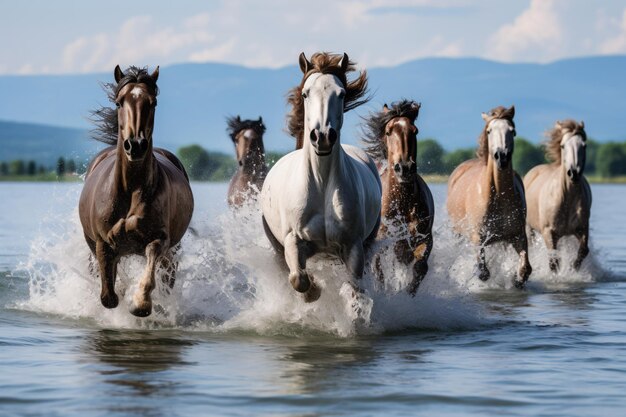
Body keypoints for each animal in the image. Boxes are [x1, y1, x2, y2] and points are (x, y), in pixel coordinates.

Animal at [79, 66, 194, 316]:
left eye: (153, 102)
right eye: (119, 102)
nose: (136, 145)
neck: (130, 189)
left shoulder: (159, 239)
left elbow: (149, 273)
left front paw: (140, 303)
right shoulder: (103, 244)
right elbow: (109, 295)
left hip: (172, 251)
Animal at [260, 52, 380, 300]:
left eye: (341, 93)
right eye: (306, 93)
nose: (323, 136)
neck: (322, 184)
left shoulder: (354, 246)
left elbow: (355, 287)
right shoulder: (293, 240)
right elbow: (298, 278)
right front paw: (313, 291)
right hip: (277, 248)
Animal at [360, 99, 434, 294]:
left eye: (414, 130)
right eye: (388, 131)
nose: (404, 168)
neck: (402, 203)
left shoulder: (424, 238)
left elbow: (420, 267)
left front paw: (409, 294)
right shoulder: (380, 245)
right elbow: (379, 274)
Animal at [446, 105, 528, 288]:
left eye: (512, 131)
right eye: (489, 131)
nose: (501, 156)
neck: (499, 195)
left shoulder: (518, 235)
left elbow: (525, 269)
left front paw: (516, 280)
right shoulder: (478, 238)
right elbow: (483, 272)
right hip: (457, 233)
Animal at [520, 118, 588, 272]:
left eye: (584, 146)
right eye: (563, 146)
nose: (574, 173)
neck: (566, 197)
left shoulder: (582, 228)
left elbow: (583, 250)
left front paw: (574, 268)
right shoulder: (549, 232)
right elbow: (553, 261)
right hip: (530, 228)